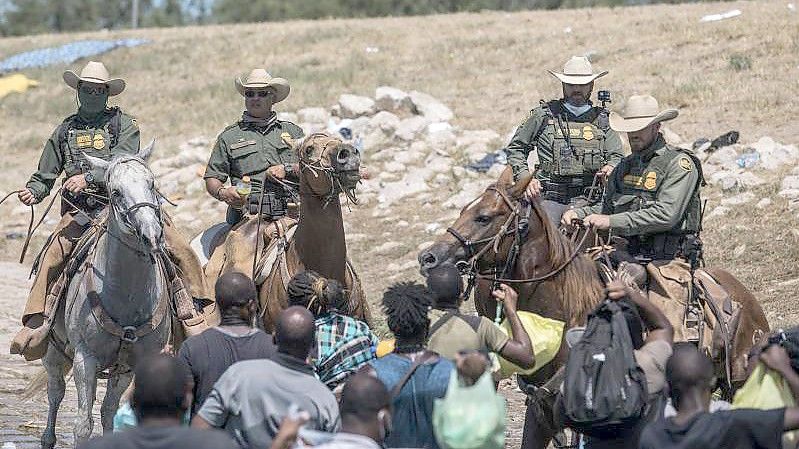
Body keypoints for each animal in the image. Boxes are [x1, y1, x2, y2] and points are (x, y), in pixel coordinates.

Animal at [41, 141, 172, 448]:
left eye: (152, 183)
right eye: (116, 192)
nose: (151, 234)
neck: (127, 298)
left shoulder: (129, 367)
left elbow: (108, 412)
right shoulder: (84, 359)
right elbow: (82, 425)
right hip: (53, 351)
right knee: (55, 392)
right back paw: (47, 438)